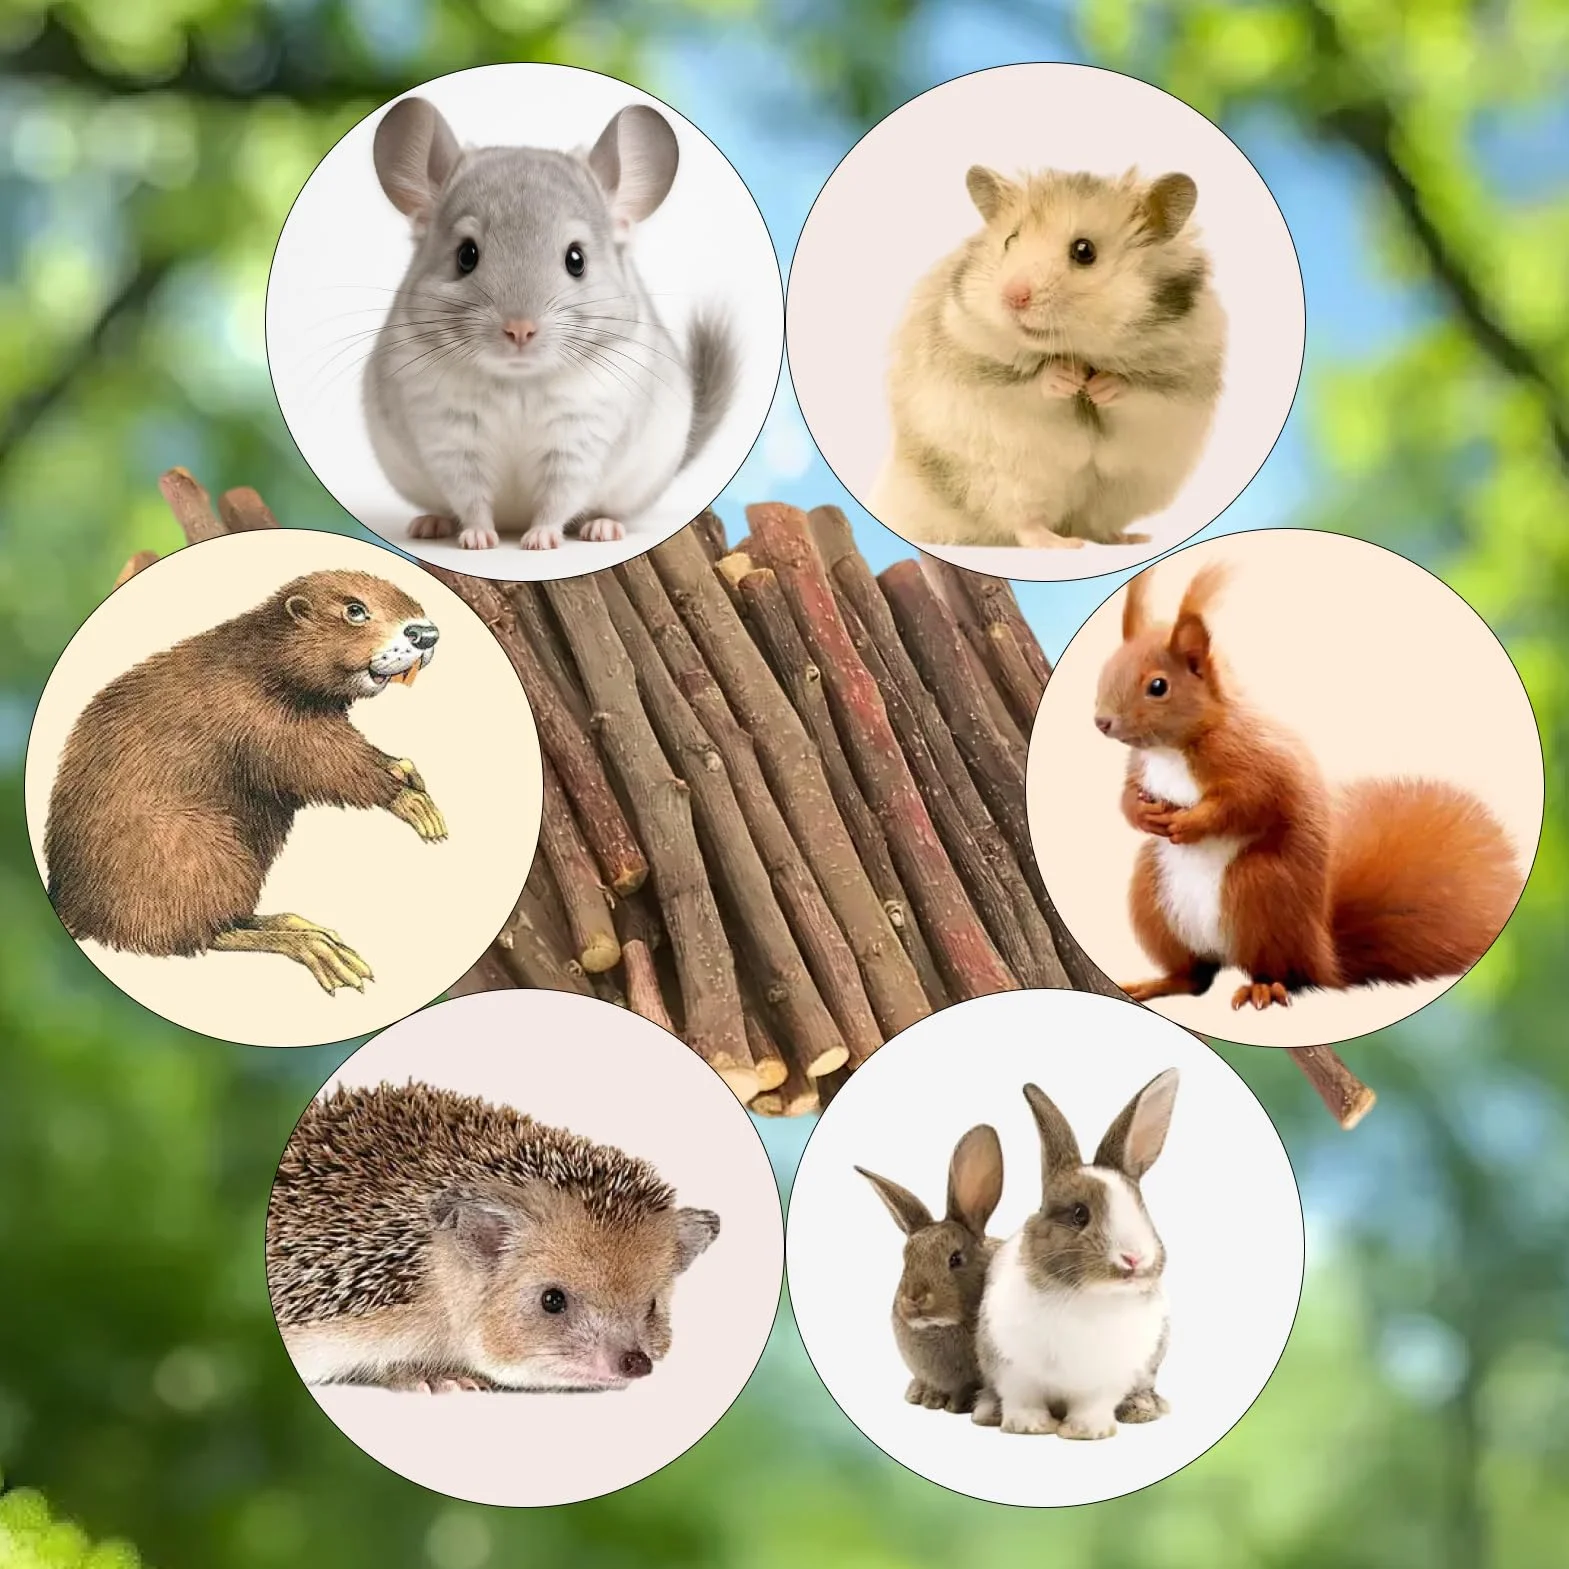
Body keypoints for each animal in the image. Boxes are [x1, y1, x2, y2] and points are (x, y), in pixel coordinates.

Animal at [364, 97, 738, 551]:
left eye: (576, 259)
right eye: (465, 255)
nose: (520, 329)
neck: (518, 381)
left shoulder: (580, 438)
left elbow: (559, 497)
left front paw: (540, 540)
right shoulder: (450, 436)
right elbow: (470, 496)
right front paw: (478, 540)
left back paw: (602, 528)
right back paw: (430, 524)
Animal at [872, 166, 1226, 549]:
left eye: (1084, 251)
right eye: (1010, 241)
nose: (1012, 297)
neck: (1080, 350)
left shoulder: (1180, 382)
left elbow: (1137, 391)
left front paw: (1101, 386)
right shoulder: (974, 365)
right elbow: (1028, 384)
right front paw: (1066, 379)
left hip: (1124, 491)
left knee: (1095, 524)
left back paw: (1129, 538)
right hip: (1001, 481)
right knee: (1024, 524)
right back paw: (1062, 543)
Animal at [975, 1069, 1178, 1439]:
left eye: (1142, 1209)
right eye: (1079, 1214)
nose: (1134, 1259)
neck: (1088, 1297)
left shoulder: (1110, 1377)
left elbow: (1094, 1404)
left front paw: (1087, 1431)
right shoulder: (1010, 1368)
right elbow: (1023, 1399)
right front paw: (1028, 1426)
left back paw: (1143, 1408)